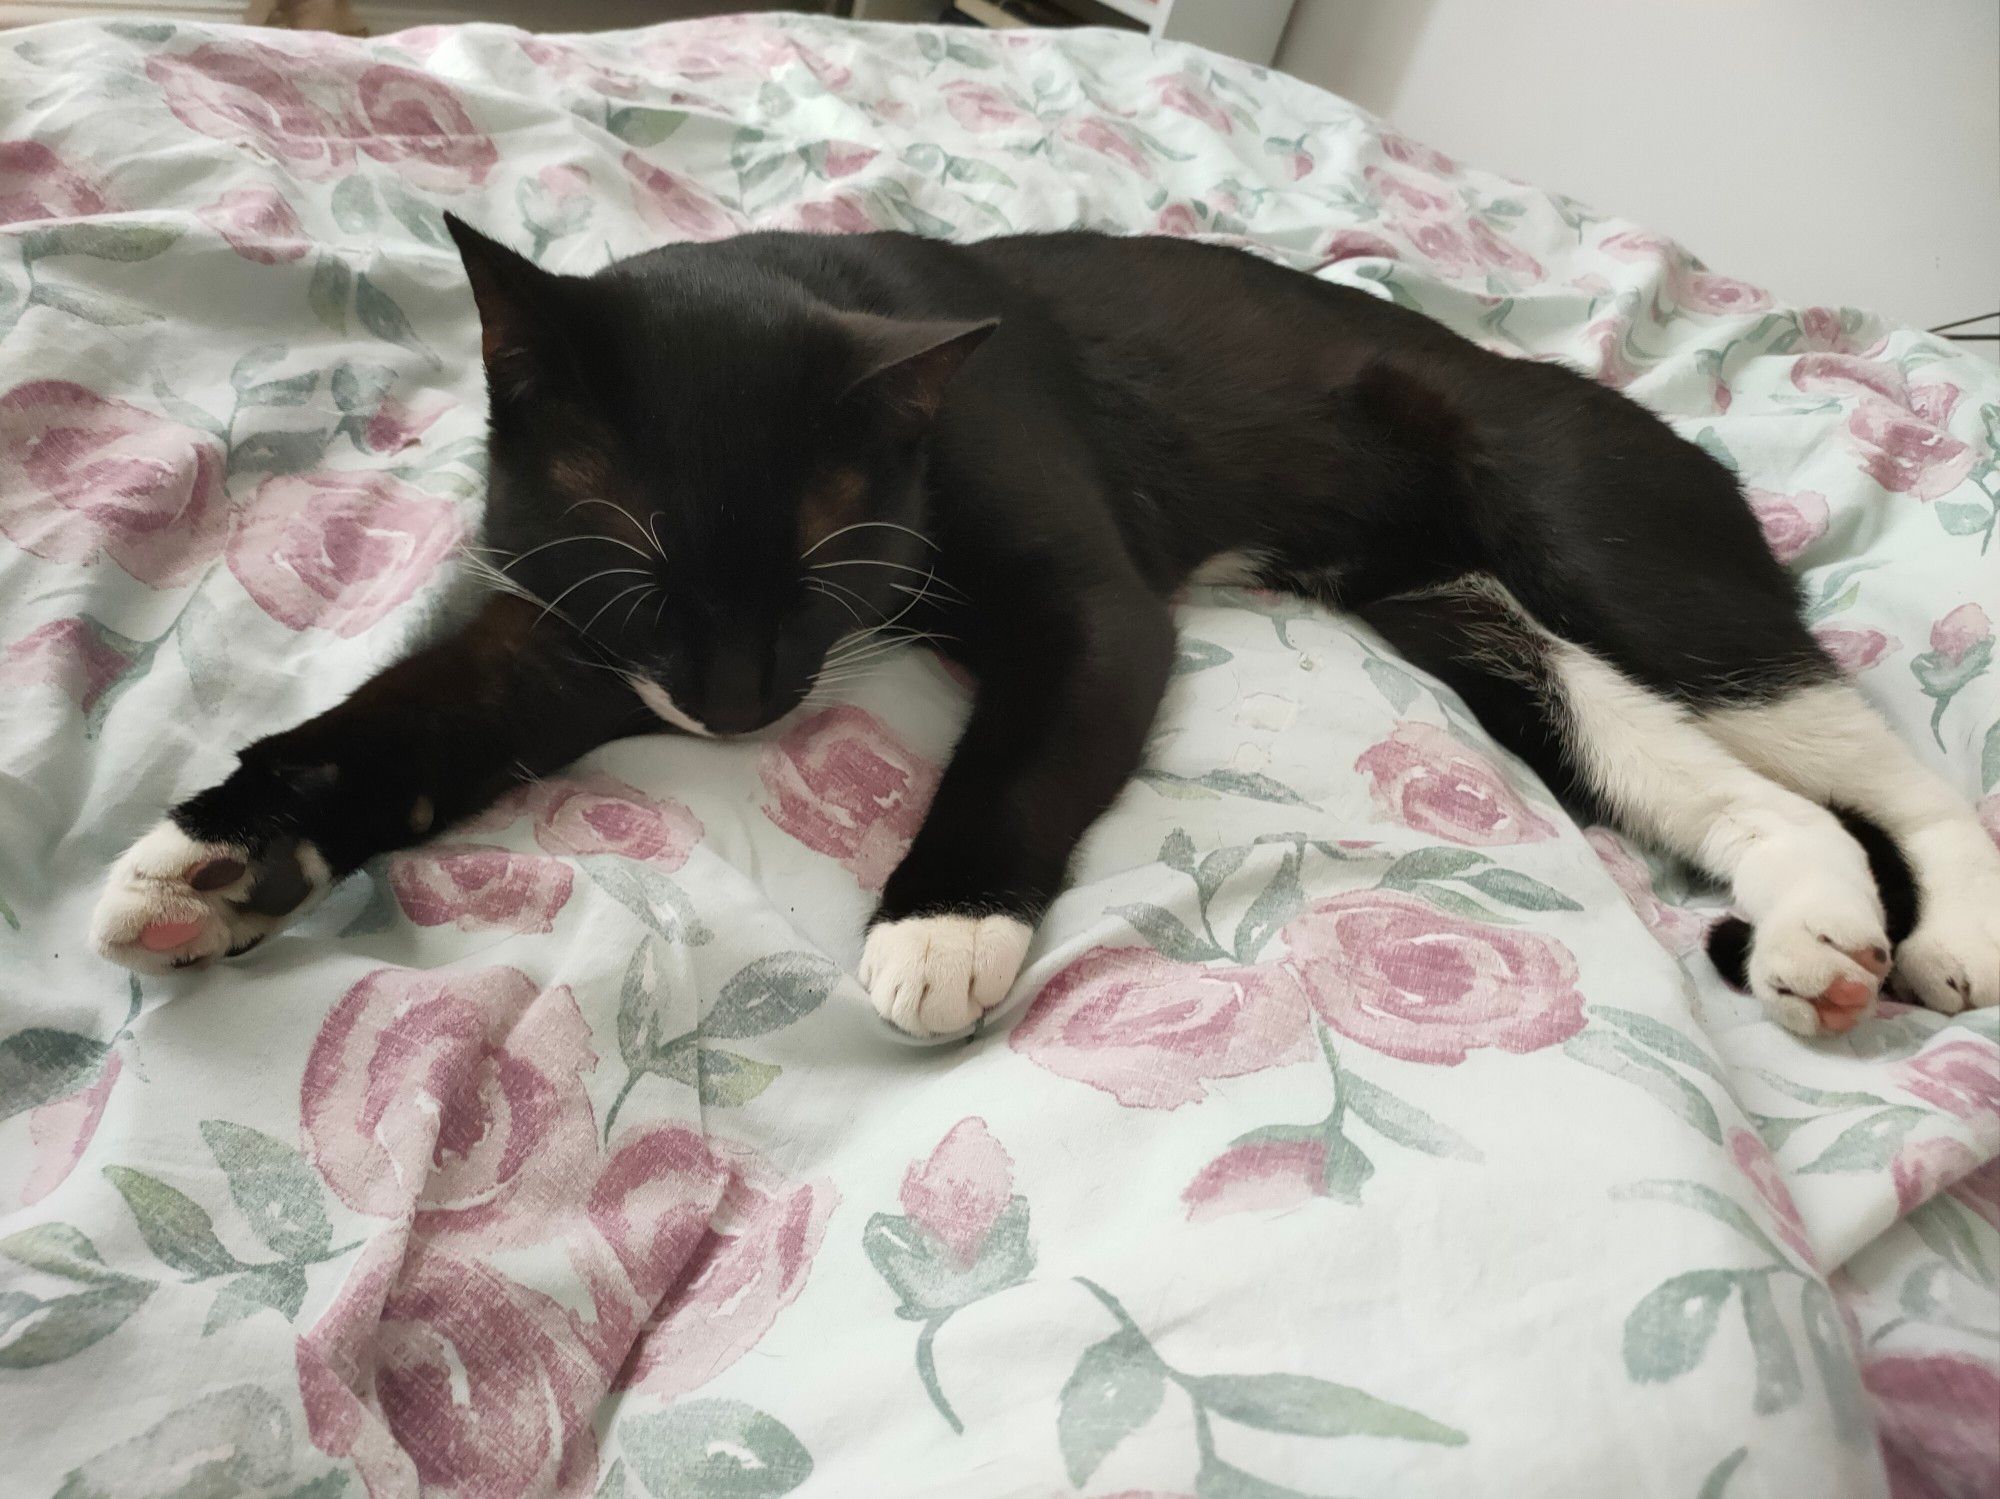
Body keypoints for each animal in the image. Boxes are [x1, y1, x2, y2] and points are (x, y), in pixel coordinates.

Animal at [86, 216, 2000, 1047]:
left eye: (823, 568)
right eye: (640, 568)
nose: (735, 708)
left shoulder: (1089, 596)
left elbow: (1029, 734)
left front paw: (938, 928)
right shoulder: (565, 638)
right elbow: (413, 712)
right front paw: (215, 851)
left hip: (1597, 542)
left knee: (1881, 760)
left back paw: (1950, 931)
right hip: (1479, 629)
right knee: (1733, 781)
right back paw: (1819, 929)